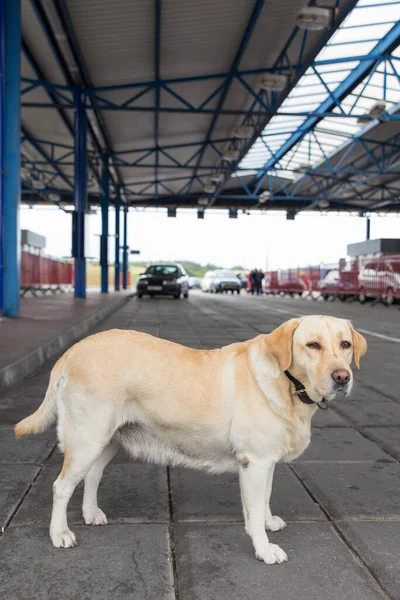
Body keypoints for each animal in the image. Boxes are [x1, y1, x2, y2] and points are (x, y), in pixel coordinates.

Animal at [14, 316, 366, 564]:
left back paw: (91, 514)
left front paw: (267, 523)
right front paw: (264, 549)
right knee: (61, 487)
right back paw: (60, 533)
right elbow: (253, 511)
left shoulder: (265, 462)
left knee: (92, 476)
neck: (289, 383)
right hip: (87, 437)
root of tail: (74, 350)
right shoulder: (254, 463)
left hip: (106, 440)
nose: (342, 377)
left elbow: (263, 499)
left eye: (345, 344)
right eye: (313, 345)